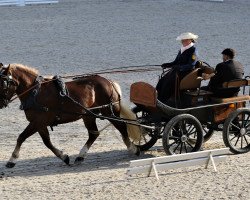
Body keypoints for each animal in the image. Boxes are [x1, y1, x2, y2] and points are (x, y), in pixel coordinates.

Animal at [0, 63, 142, 167]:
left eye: (3, 83)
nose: (0, 103)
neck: (35, 92)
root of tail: (109, 82)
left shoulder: (38, 122)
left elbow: (21, 137)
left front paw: (12, 159)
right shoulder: (40, 124)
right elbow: (47, 142)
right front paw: (64, 157)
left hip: (108, 111)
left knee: (122, 126)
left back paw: (133, 148)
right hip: (88, 115)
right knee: (94, 134)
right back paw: (80, 156)